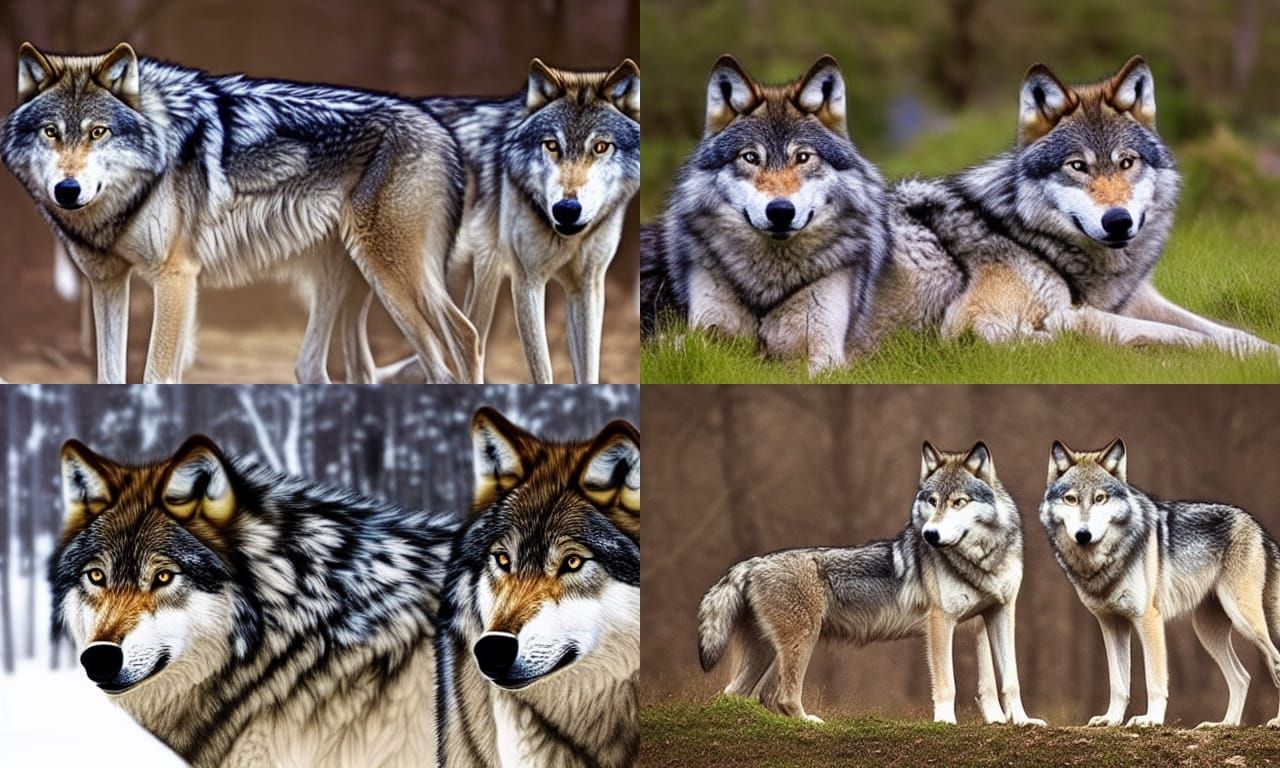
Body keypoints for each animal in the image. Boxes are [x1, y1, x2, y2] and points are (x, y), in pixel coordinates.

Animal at [2, 42, 479, 384]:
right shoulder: (107, 283)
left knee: (462, 341)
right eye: (50, 132)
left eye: (98, 132)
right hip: (349, 280)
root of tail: (442, 131)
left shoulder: (175, 278)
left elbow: (156, 376)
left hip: (393, 278)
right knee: (330, 369)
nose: (67, 190)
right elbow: (108, 376)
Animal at [639, 54, 891, 375]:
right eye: (750, 157)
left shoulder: (826, 351)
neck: (768, 285)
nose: (781, 211)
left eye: (803, 157)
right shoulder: (706, 328)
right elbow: (687, 348)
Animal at [698, 443, 1043, 726]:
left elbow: (1008, 680)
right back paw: (810, 722)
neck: (982, 561)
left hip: (771, 650)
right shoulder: (941, 620)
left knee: (743, 694)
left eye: (958, 502)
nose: (929, 535)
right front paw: (946, 722)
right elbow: (948, 682)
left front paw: (1021, 721)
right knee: (781, 696)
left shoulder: (997, 614)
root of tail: (750, 564)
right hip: (802, 641)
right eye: (932, 501)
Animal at [865, 56, 1280, 359]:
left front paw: (1262, 351)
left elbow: (1221, 330)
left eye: (1126, 162)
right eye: (1077, 166)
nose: (1118, 221)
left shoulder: (1136, 299)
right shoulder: (975, 320)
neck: (1025, 235)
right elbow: (1172, 334)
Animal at [1040, 438, 1280, 728]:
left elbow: (1154, 679)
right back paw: (1224, 725)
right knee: (1242, 677)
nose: (1083, 534)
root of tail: (1256, 526)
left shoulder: (1148, 619)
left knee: (1273, 661)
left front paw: (1151, 719)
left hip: (1244, 618)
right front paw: (1112, 719)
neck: (1105, 561)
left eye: (1100, 498)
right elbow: (1118, 684)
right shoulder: (1111, 623)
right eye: (1071, 499)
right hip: (1207, 630)